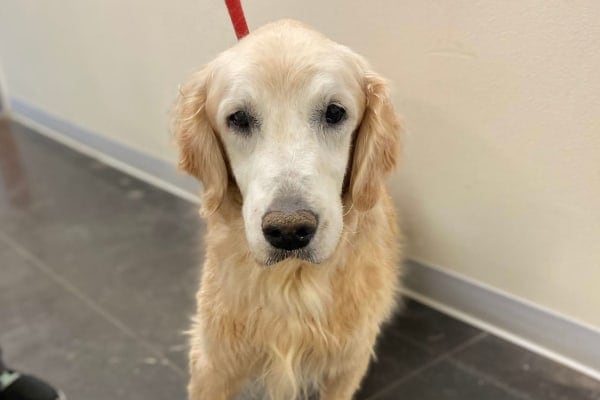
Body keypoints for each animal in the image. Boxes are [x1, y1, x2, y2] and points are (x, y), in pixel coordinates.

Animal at [173, 20, 404, 400]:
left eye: (335, 112)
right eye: (238, 118)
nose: (289, 231)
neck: (291, 282)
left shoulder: (346, 365)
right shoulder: (213, 363)